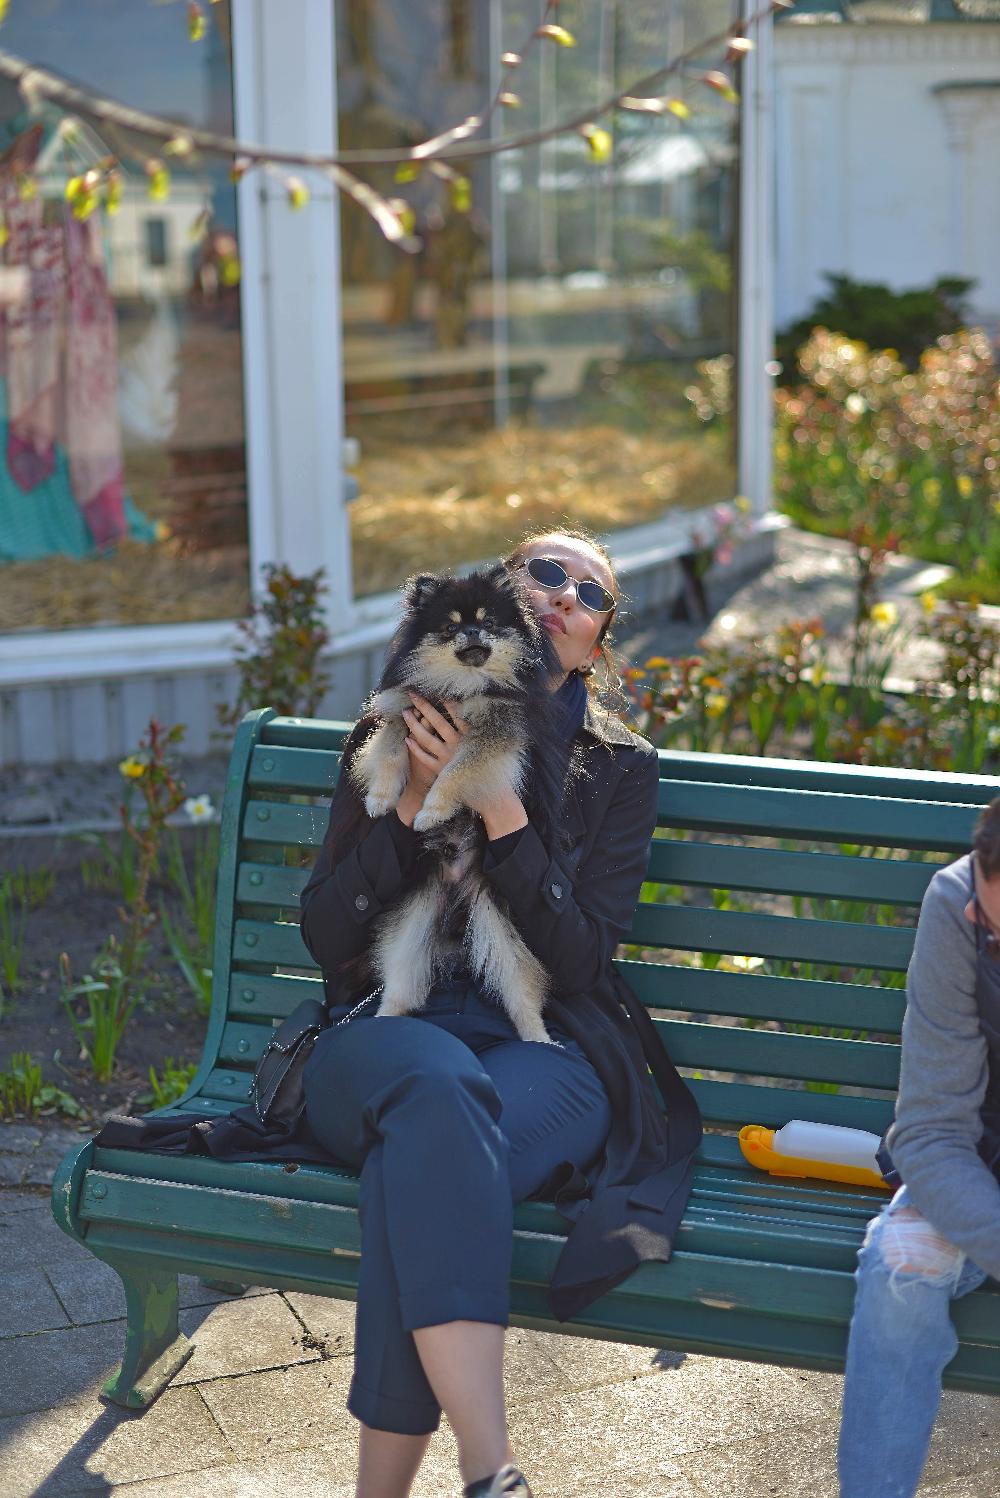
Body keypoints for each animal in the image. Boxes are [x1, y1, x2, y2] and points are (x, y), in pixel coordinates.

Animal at [351, 566, 565, 1048]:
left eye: (488, 622)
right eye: (450, 627)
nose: (470, 631)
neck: (461, 690)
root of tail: (455, 887)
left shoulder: (497, 734)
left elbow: (456, 771)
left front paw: (432, 810)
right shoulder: (410, 710)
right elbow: (388, 746)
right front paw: (380, 798)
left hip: (502, 924)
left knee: (521, 990)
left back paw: (539, 1039)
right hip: (415, 916)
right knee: (401, 978)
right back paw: (383, 1020)